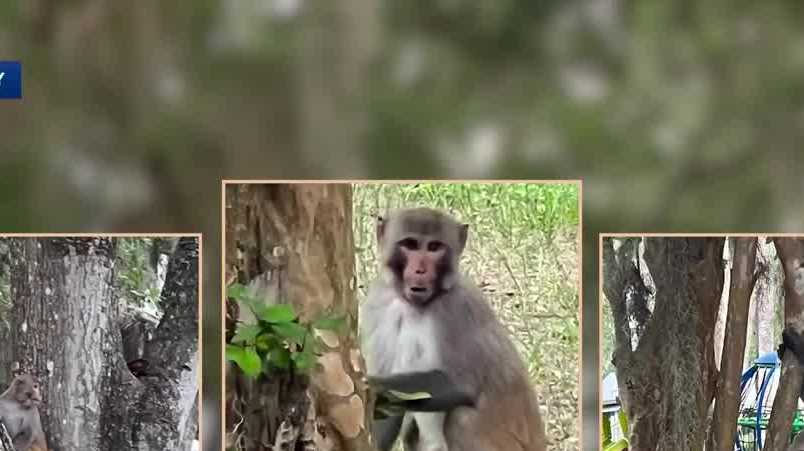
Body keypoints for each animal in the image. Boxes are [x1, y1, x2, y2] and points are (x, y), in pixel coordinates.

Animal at [360, 208, 547, 451]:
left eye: (434, 247)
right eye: (410, 244)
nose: (420, 270)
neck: (415, 306)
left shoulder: (458, 308)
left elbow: (461, 384)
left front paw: (374, 385)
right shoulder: (379, 303)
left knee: (461, 418)